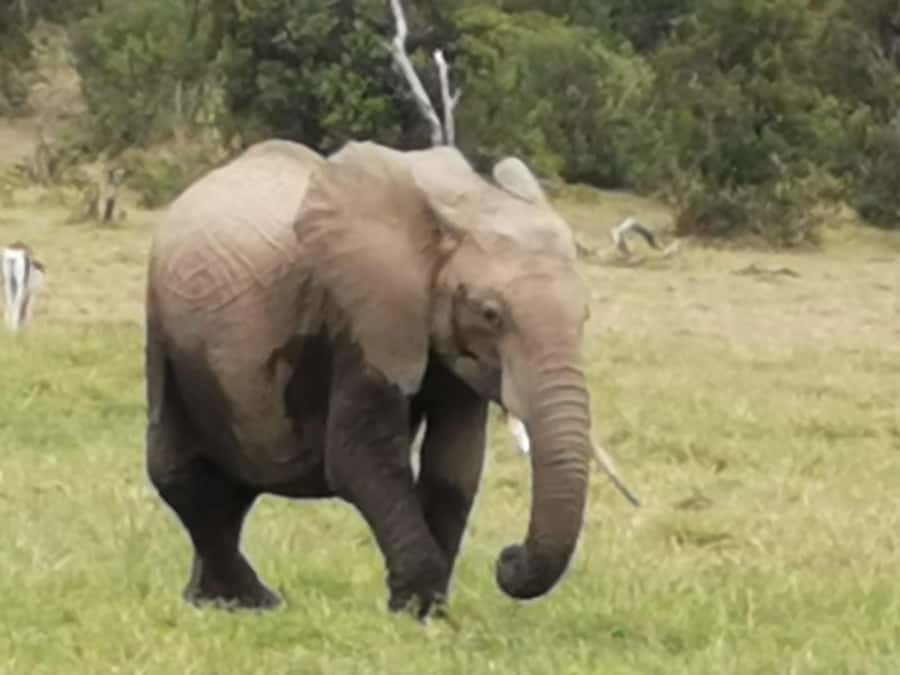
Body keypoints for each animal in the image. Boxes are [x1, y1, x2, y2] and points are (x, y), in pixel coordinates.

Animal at [145, 137, 605, 620]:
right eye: (489, 314)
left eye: (585, 315)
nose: (508, 558)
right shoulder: (360, 313)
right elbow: (361, 456)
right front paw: (416, 611)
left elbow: (455, 464)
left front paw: (431, 612)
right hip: (166, 330)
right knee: (179, 474)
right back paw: (247, 602)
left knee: (230, 489)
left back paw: (222, 600)